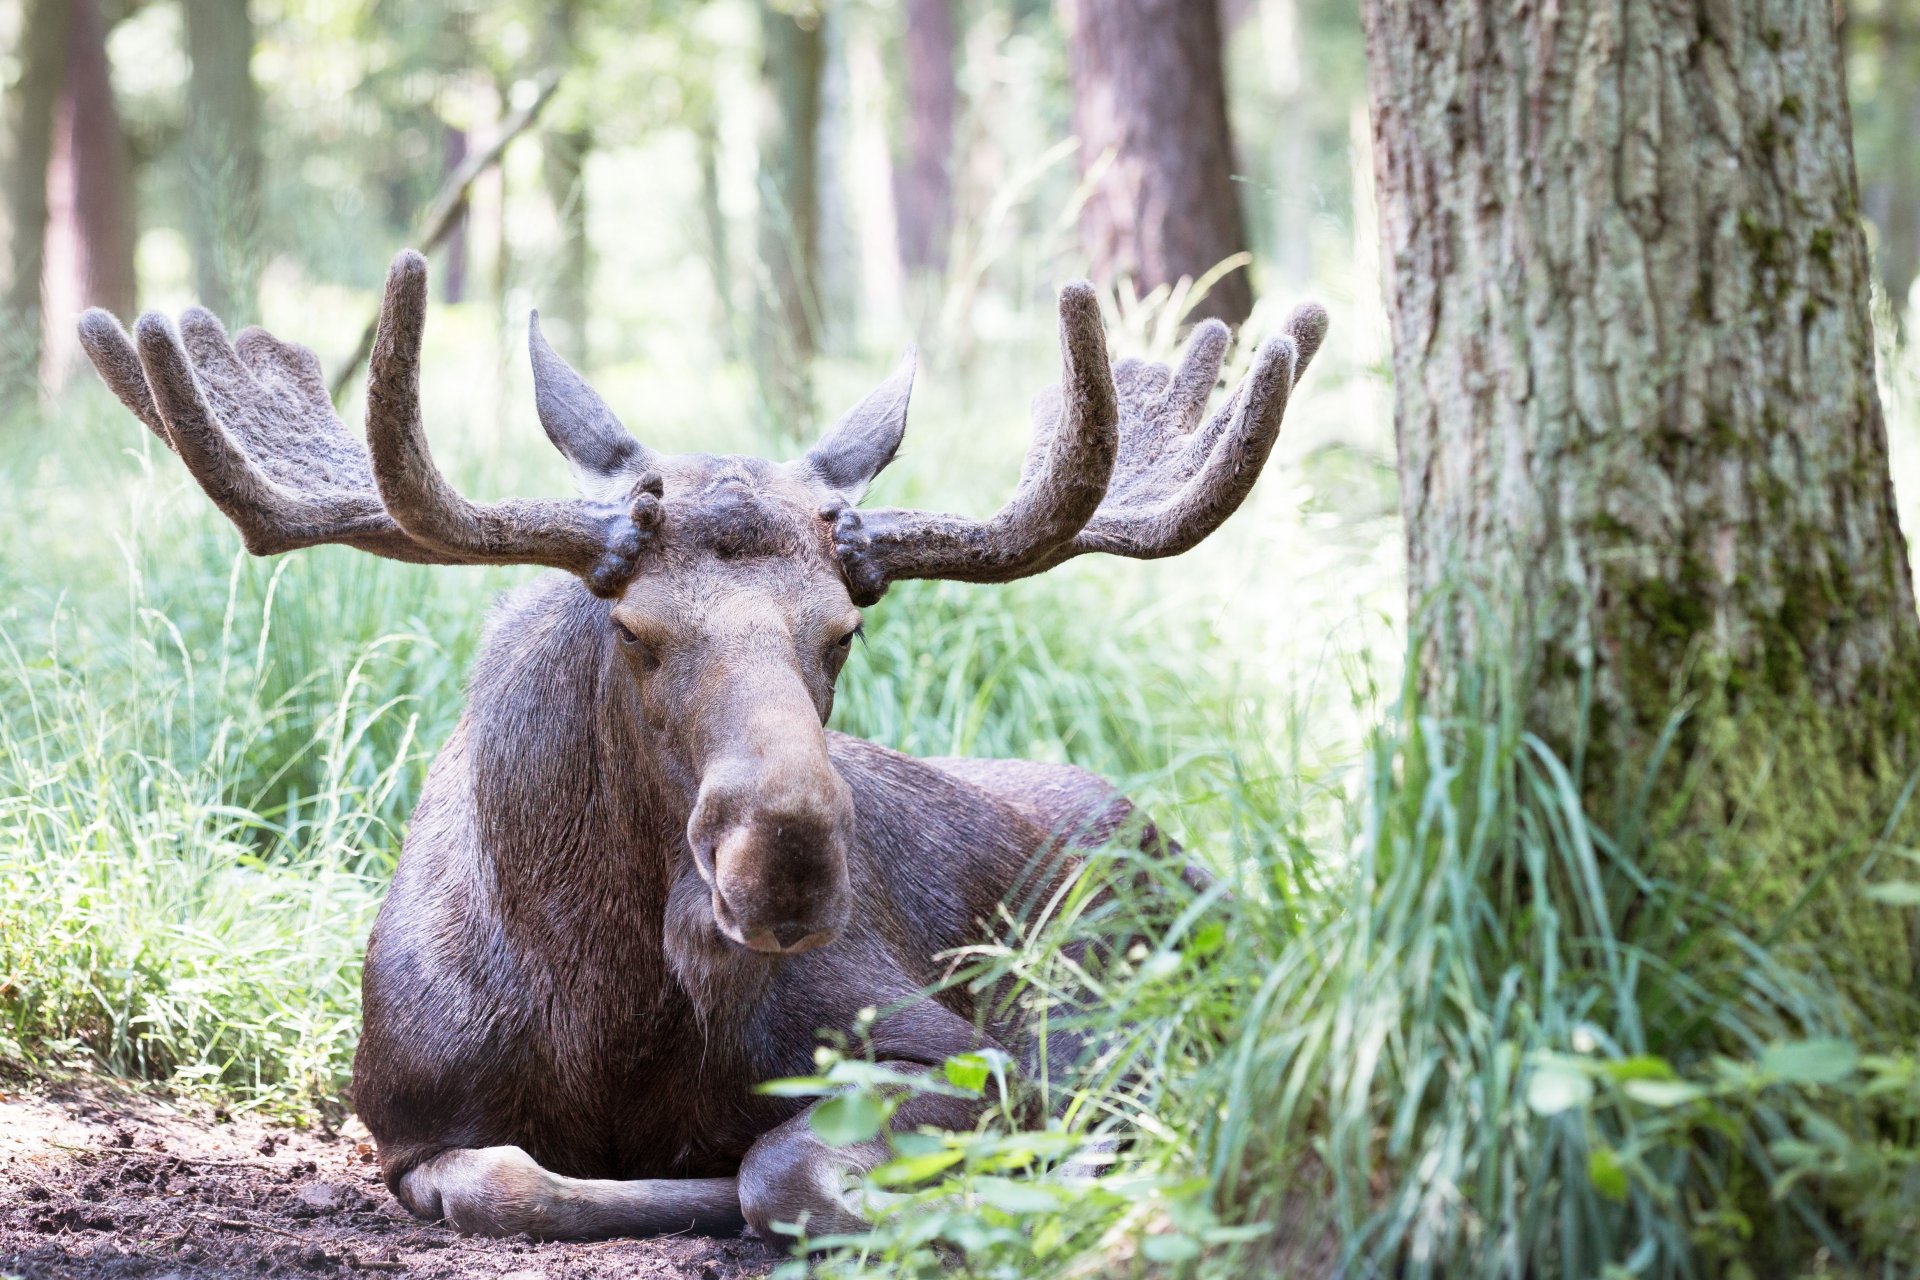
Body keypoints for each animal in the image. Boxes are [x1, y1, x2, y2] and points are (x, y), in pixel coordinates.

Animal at [77, 250, 1325, 1243]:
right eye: (634, 626)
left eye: (842, 627)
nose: (786, 858)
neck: (603, 1008)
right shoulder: (405, 1116)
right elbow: (510, 1180)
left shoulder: (952, 1047)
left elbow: (783, 1166)